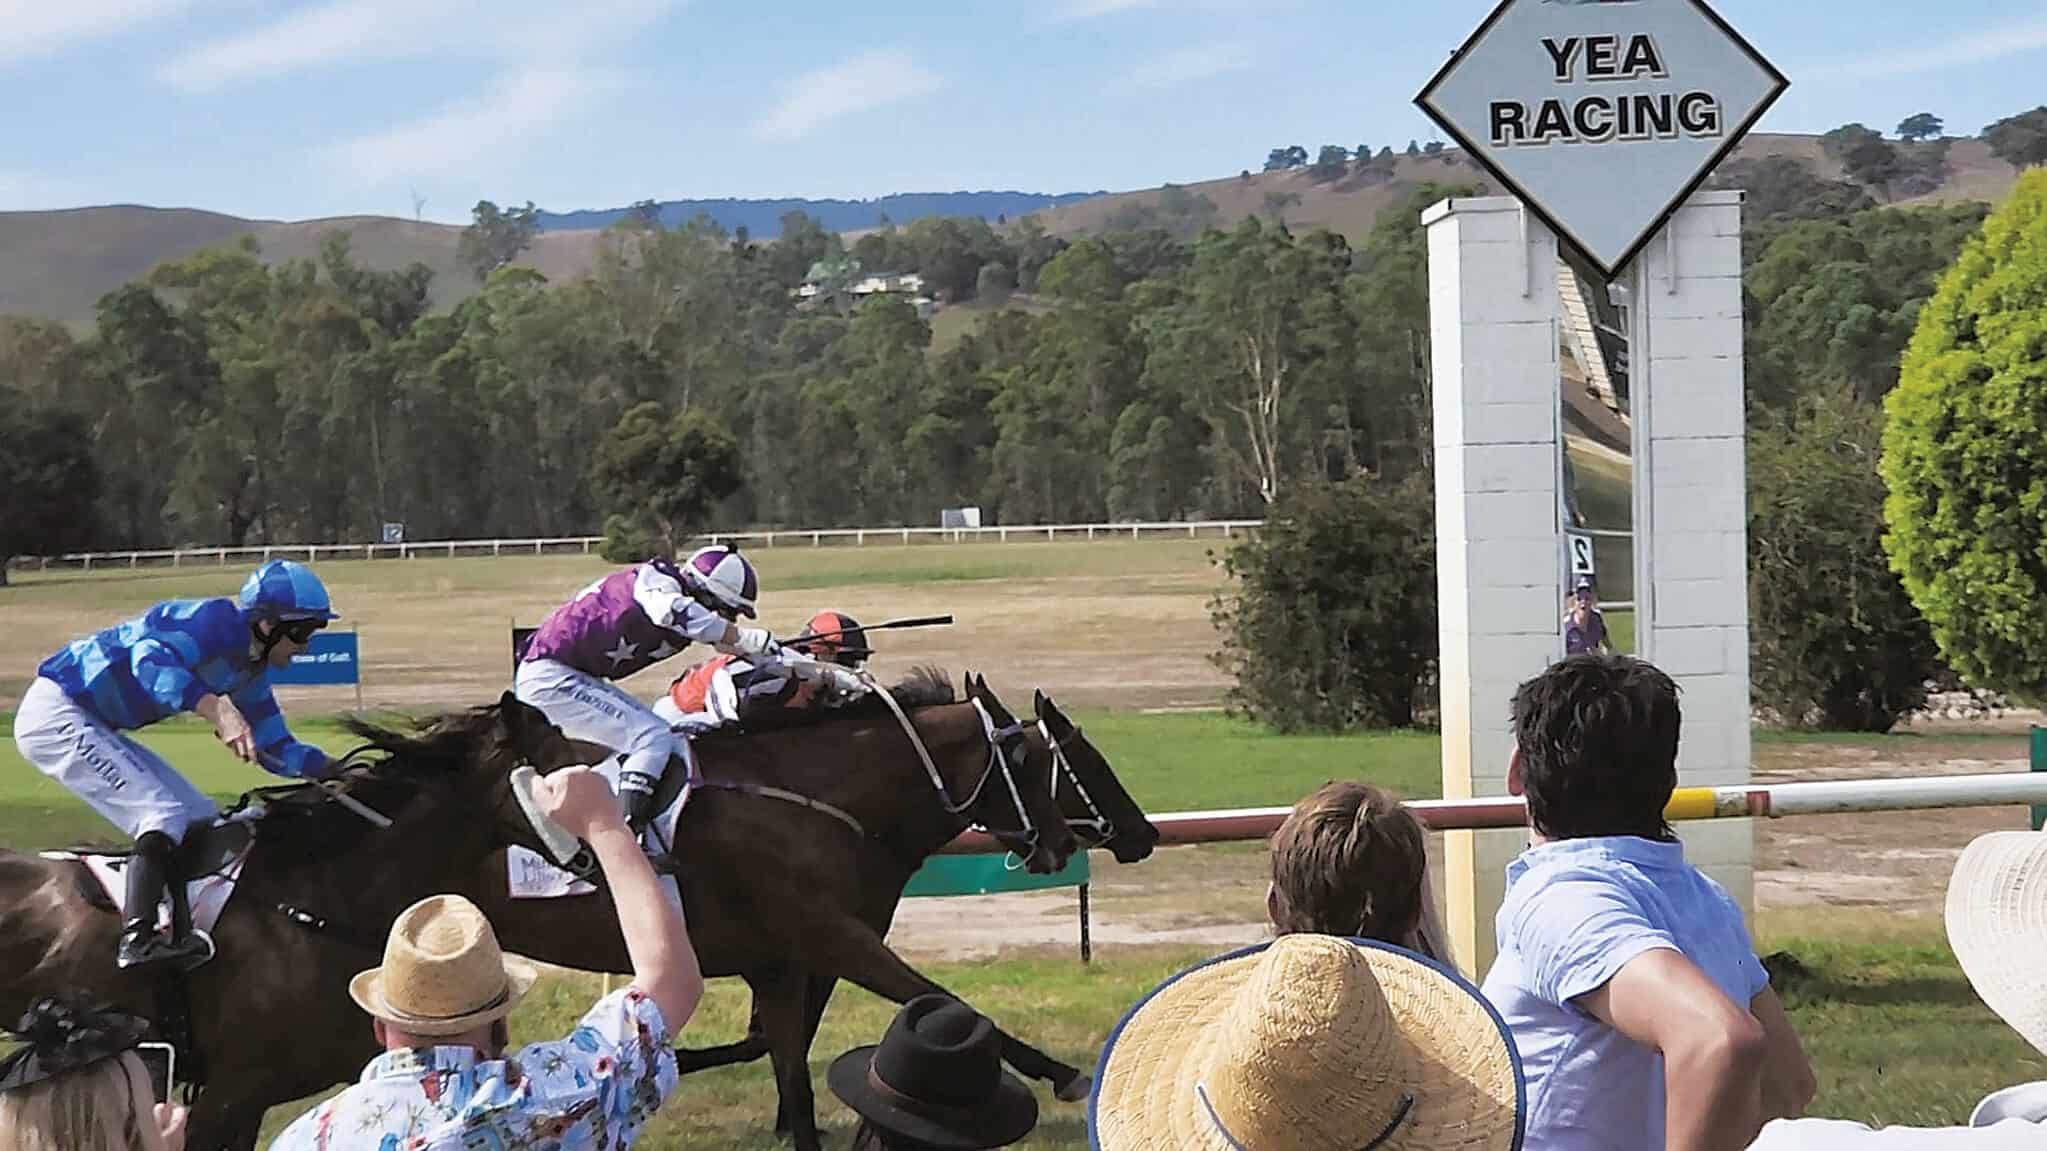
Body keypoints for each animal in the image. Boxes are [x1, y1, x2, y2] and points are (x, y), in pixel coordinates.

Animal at [458, 663, 1146, 1146]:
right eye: (1060, 760)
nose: (1142, 833)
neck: (815, 798)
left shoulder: (785, 959)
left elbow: (780, 1050)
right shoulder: (834, 939)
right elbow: (948, 1003)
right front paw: (1068, 1075)